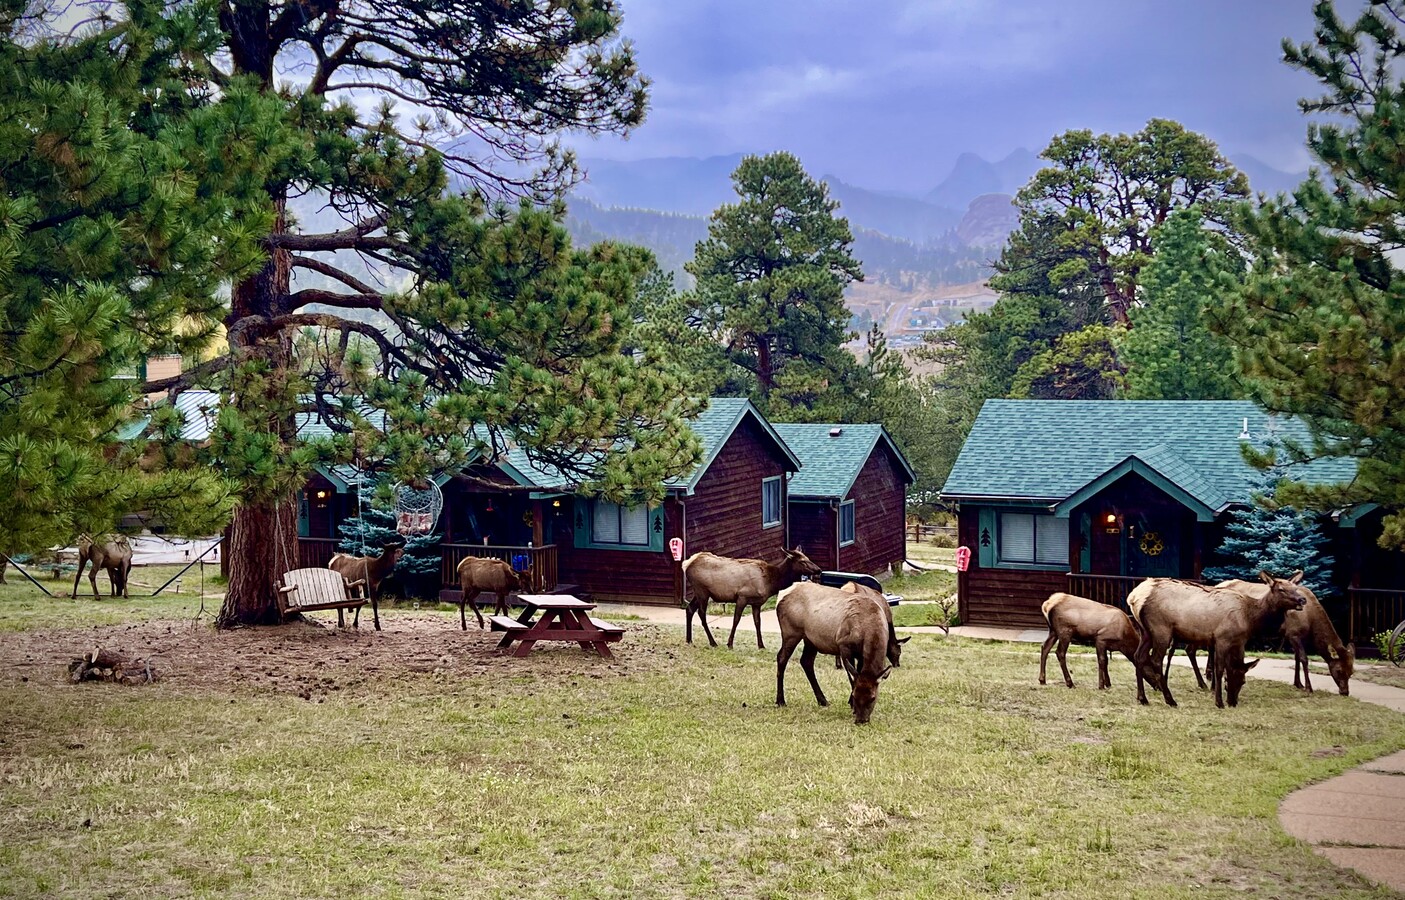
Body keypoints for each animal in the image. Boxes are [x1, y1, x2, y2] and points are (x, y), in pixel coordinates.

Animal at [680, 544, 820, 648]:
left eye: (808, 558)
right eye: (802, 561)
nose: (818, 570)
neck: (770, 583)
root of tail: (686, 564)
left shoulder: (756, 603)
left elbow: (758, 623)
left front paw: (761, 645)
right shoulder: (742, 597)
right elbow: (736, 620)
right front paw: (729, 643)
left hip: (698, 592)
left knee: (690, 609)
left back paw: (689, 640)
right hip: (702, 591)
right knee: (701, 613)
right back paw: (712, 642)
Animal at [775, 584, 893, 724]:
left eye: (873, 698)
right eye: (855, 695)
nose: (861, 720)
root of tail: (782, 594)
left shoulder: (861, 654)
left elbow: (857, 674)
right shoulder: (844, 645)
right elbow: (851, 678)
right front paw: (852, 706)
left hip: (810, 639)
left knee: (806, 661)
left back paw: (823, 700)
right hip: (791, 632)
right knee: (781, 658)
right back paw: (780, 701)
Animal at [1124, 567, 1309, 707]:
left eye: (1296, 588)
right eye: (1281, 589)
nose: (1302, 599)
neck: (1250, 617)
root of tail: (1134, 597)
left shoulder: (1235, 641)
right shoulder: (1222, 638)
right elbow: (1219, 668)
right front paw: (1219, 702)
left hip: (1145, 631)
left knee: (1138, 656)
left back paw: (1142, 698)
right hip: (1161, 629)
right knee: (1156, 660)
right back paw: (1170, 700)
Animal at [1213, 578, 1354, 699]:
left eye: (1351, 672)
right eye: (1339, 670)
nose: (1345, 692)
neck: (1311, 620)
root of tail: (1216, 585)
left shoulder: (1295, 636)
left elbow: (1296, 658)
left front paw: (1298, 683)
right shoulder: (1293, 633)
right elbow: (1304, 659)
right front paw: (1308, 687)